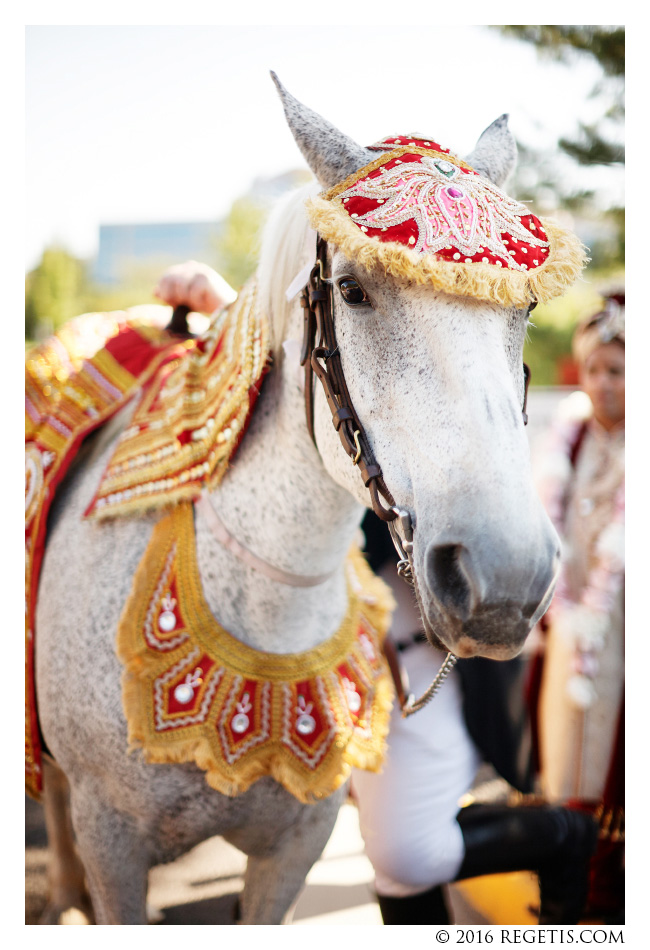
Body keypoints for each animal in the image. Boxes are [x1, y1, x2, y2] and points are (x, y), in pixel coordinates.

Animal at [33, 78, 564, 924]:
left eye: (526, 310)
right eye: (352, 289)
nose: (503, 581)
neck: (265, 603)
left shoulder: (294, 848)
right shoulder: (114, 844)